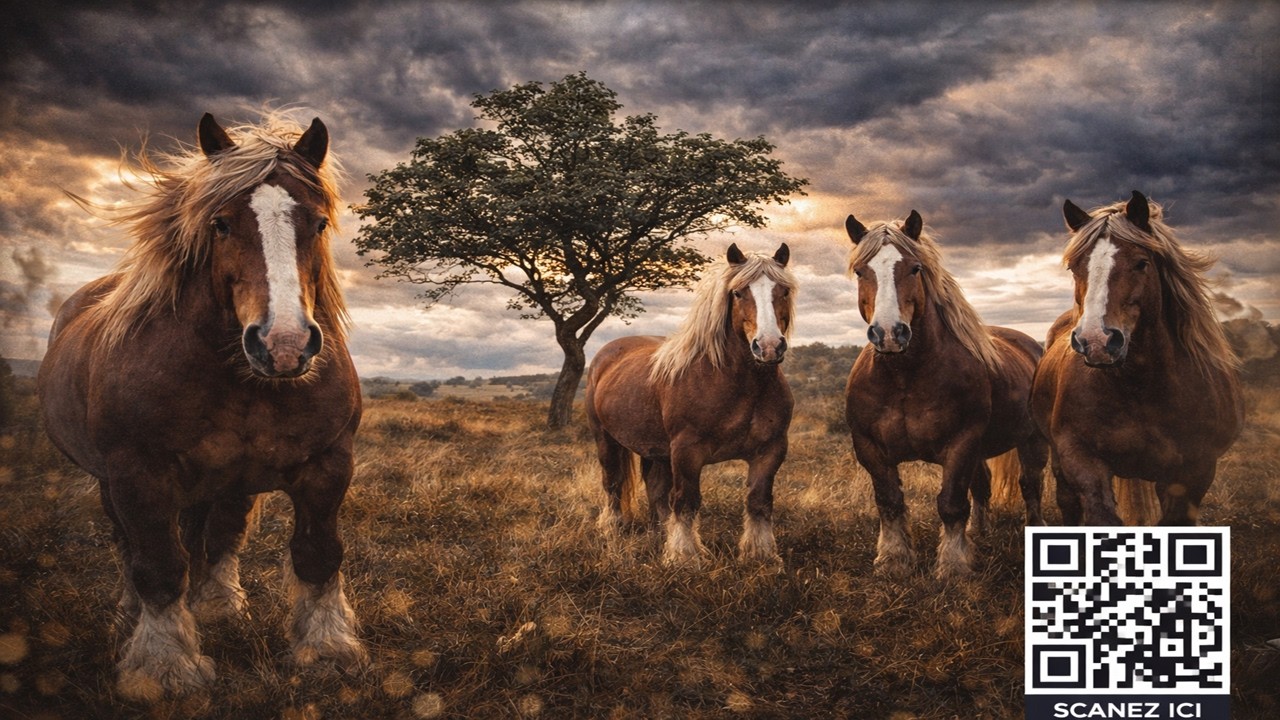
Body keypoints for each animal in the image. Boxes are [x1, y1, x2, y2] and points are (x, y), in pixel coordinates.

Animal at [38, 112, 365, 700]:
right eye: (221, 224)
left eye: (319, 223)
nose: (284, 344)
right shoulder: (138, 475)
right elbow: (158, 566)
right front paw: (165, 667)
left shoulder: (328, 465)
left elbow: (318, 555)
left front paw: (328, 650)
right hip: (113, 483)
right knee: (132, 548)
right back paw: (131, 617)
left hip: (229, 479)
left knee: (219, 534)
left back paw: (219, 607)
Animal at [585, 243, 795, 566]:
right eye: (738, 292)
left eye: (783, 290)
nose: (769, 346)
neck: (736, 384)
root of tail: (604, 356)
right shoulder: (686, 451)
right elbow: (686, 501)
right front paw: (684, 557)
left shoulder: (770, 450)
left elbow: (759, 501)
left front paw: (761, 555)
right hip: (606, 440)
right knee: (613, 483)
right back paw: (613, 527)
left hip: (655, 451)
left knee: (656, 490)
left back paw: (661, 534)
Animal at [843, 210, 1046, 579]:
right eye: (861, 271)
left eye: (915, 268)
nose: (890, 333)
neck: (905, 376)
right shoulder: (869, 447)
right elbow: (890, 502)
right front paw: (893, 560)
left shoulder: (961, 444)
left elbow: (951, 504)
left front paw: (953, 566)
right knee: (983, 486)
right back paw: (978, 534)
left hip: (1032, 441)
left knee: (1031, 485)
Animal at [1030, 191, 1243, 525]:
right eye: (1074, 267)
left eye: (1141, 263)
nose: (1097, 340)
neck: (1145, 389)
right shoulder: (1081, 458)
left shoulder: (1196, 470)